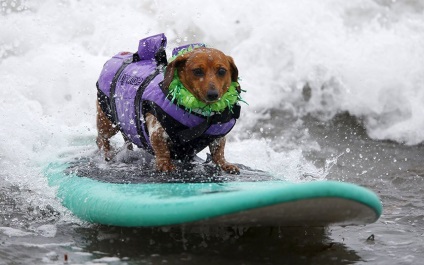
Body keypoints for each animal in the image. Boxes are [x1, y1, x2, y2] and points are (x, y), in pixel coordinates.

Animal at [96, 34, 242, 174]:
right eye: (197, 71)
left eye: (222, 71)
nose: (213, 94)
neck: (200, 114)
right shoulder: (157, 130)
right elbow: (162, 149)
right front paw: (165, 164)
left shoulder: (218, 136)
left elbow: (218, 151)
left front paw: (224, 164)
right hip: (108, 122)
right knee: (101, 139)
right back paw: (107, 153)